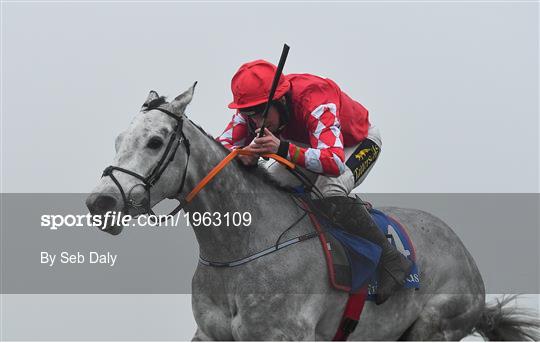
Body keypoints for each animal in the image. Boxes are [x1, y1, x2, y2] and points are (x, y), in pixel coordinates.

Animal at [86, 85, 536, 342]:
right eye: (119, 140)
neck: (240, 249)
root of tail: (465, 254)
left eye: (155, 141)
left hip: (436, 328)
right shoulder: (211, 336)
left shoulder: (284, 336)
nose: (100, 203)